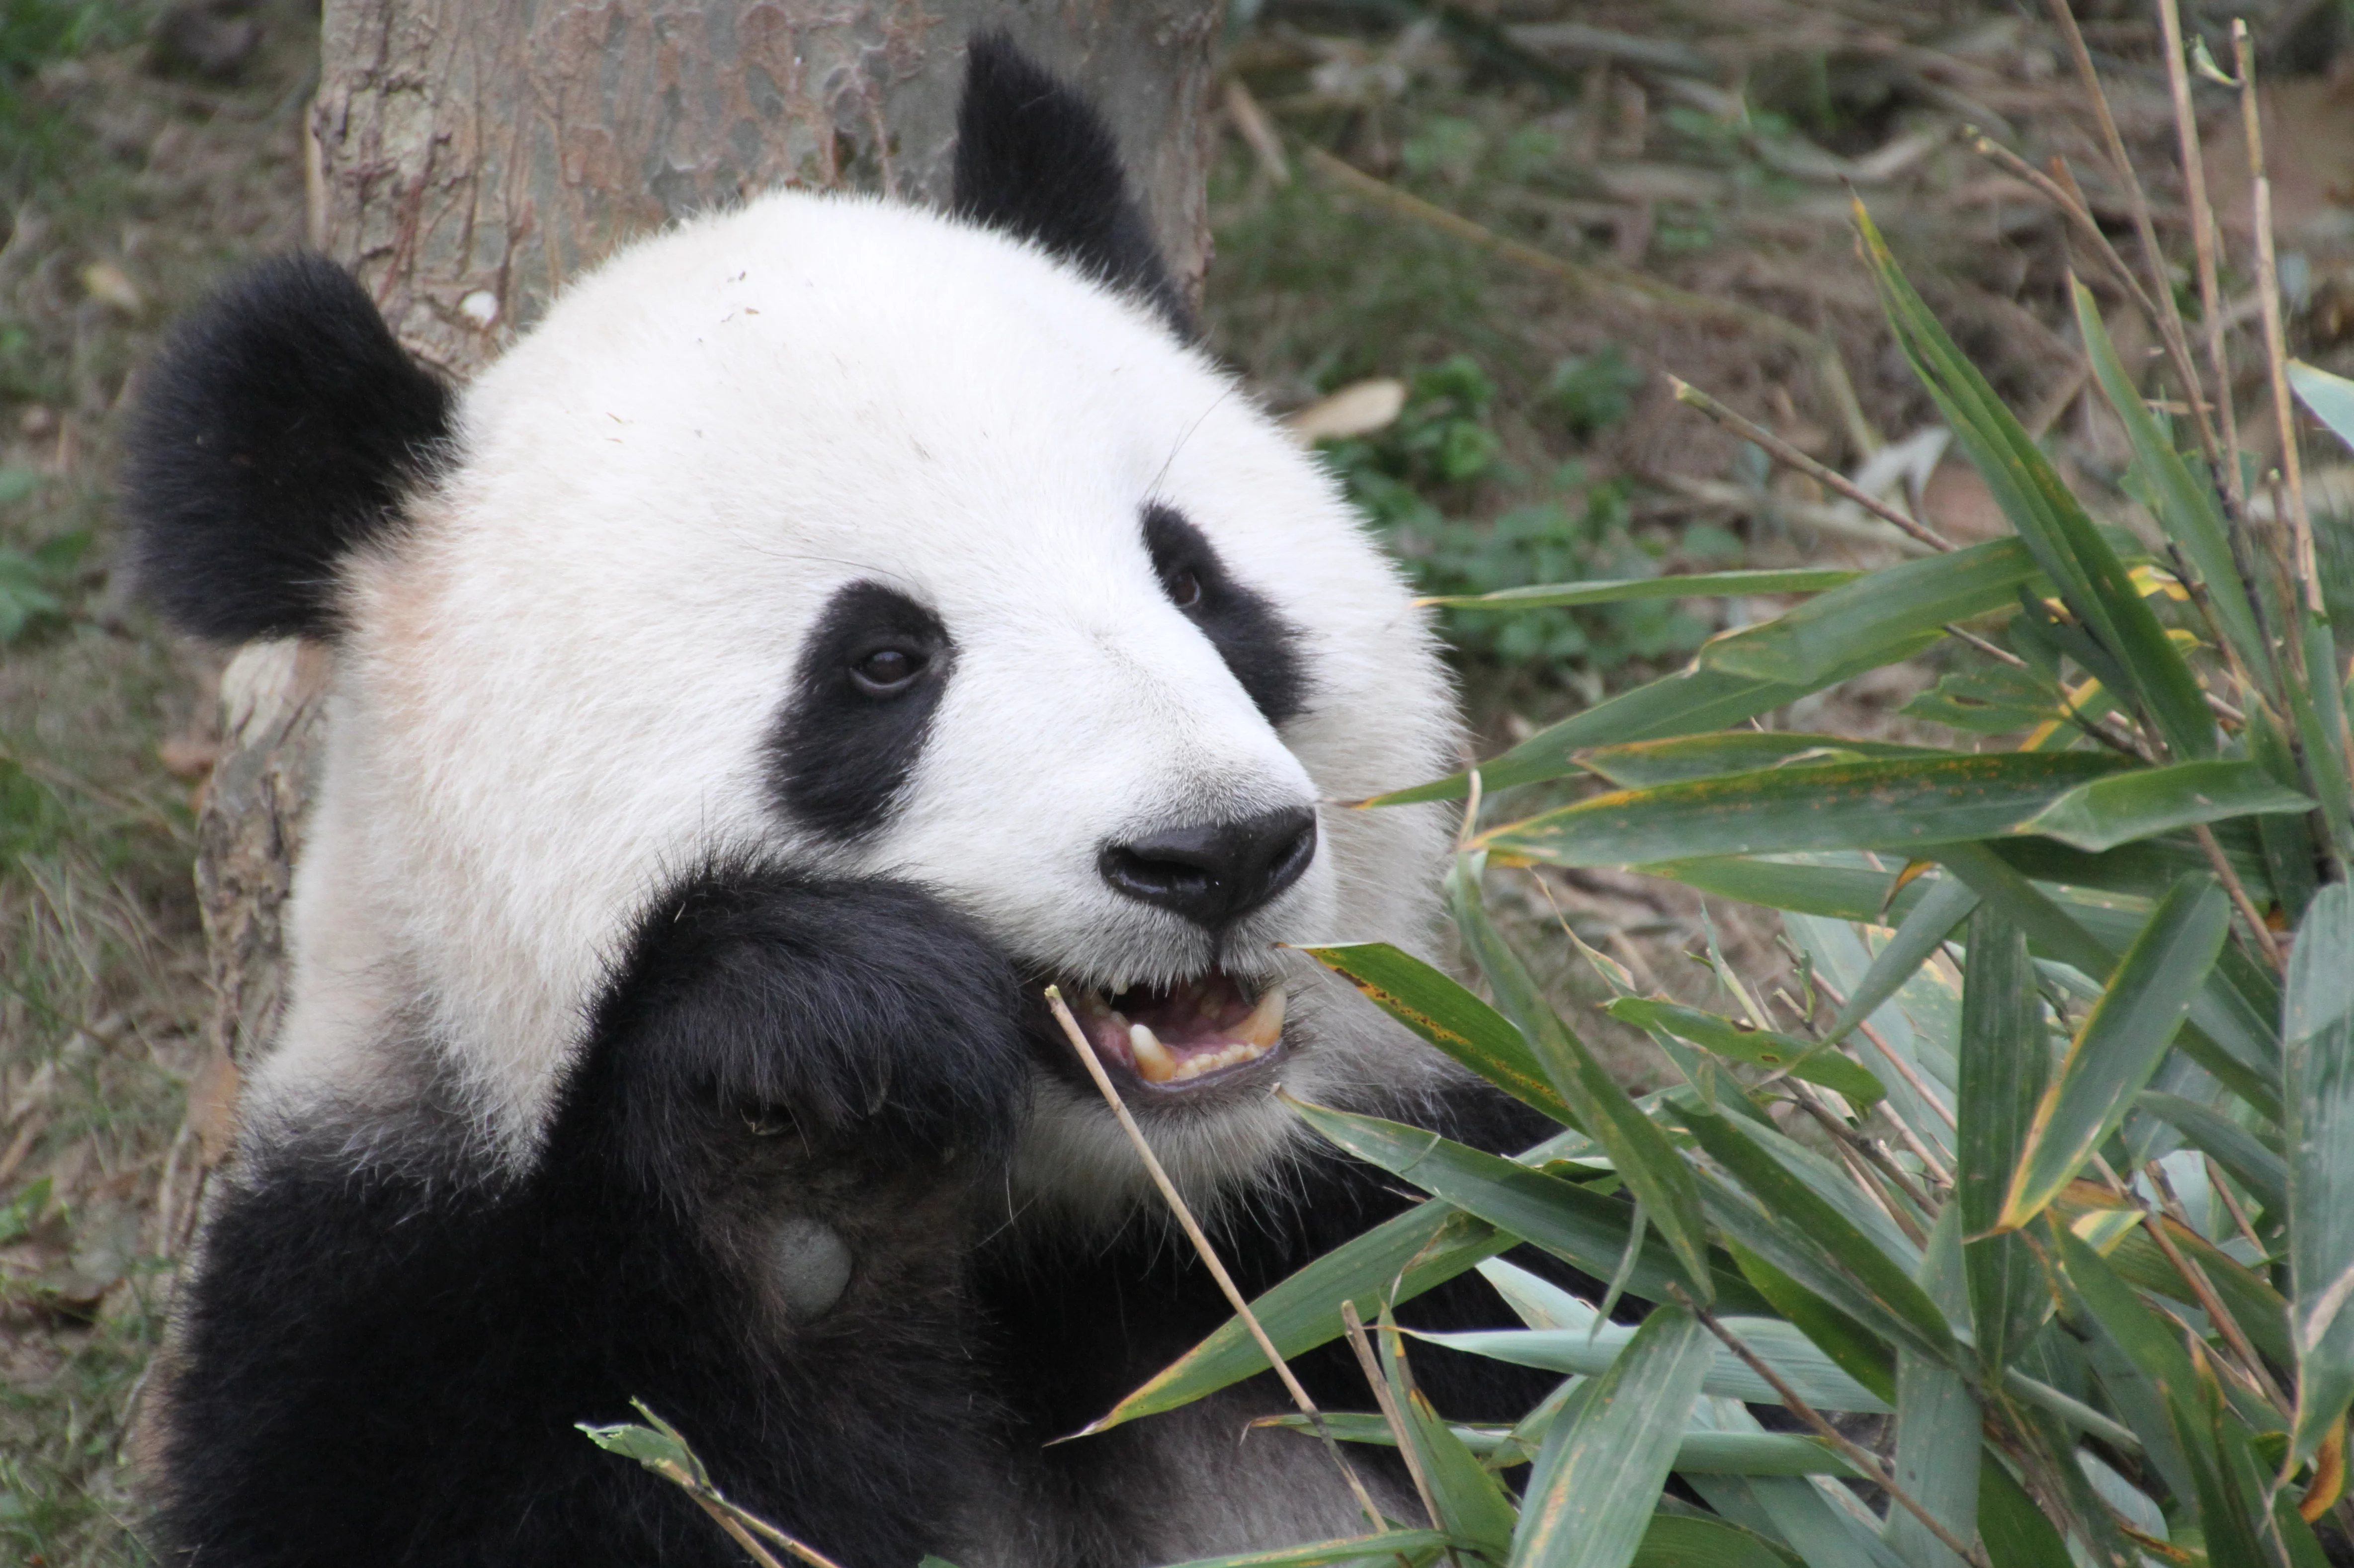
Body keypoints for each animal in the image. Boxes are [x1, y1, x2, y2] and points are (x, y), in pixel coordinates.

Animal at [124, 35, 1563, 1568]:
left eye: (1193, 582)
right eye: (881, 662)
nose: (1219, 850)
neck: (1087, 1242)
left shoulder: (1419, 1224)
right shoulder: (365, 1269)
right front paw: (804, 1140)